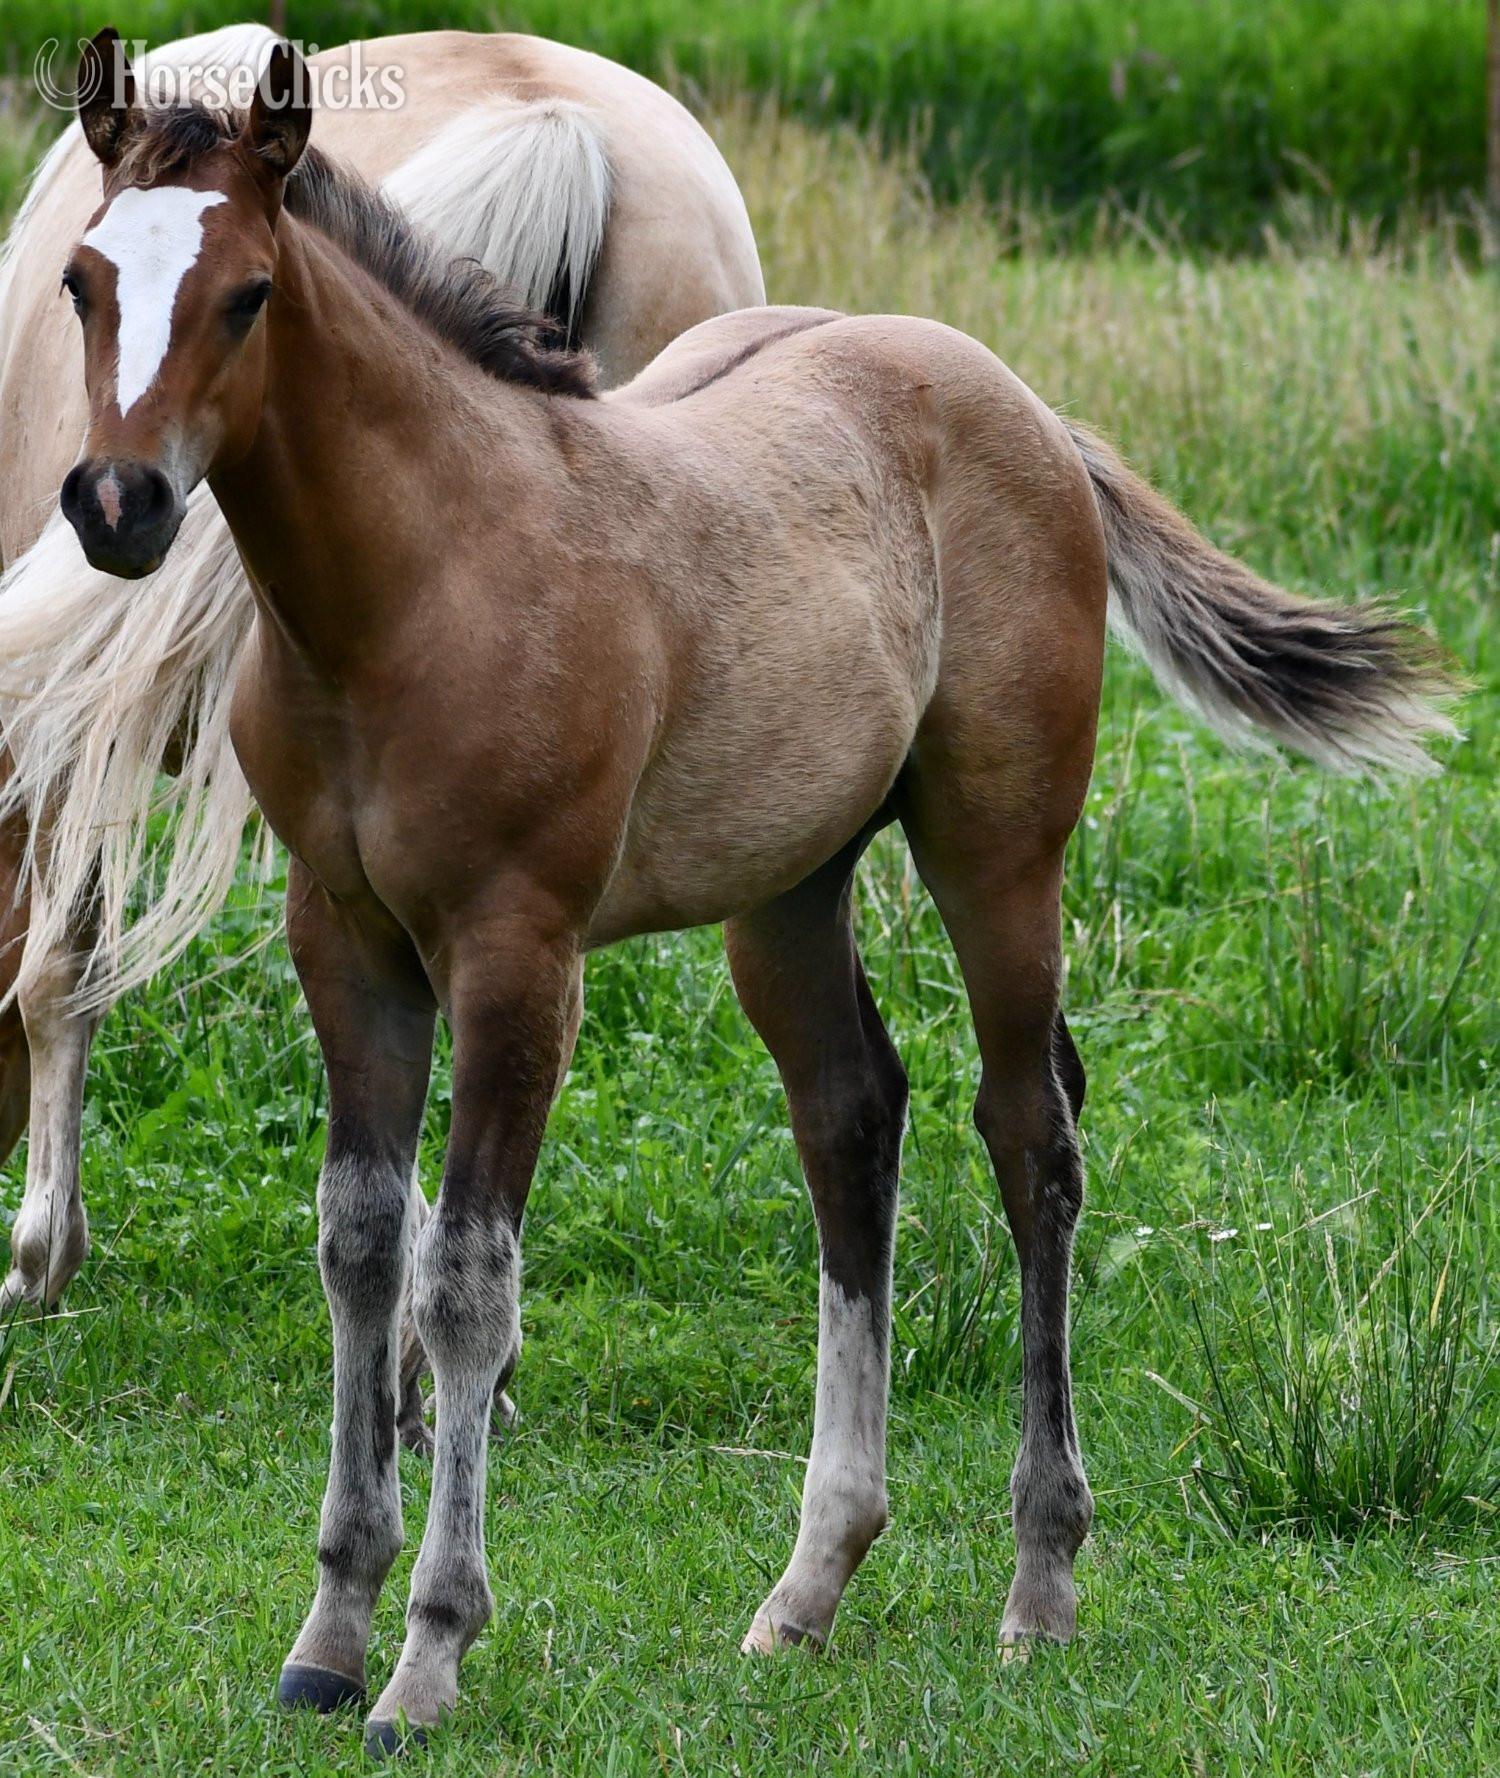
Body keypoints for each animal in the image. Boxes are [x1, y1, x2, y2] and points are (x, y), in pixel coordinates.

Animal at [0, 24, 764, 1327]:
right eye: (81, 287)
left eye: (246, 300)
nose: (114, 504)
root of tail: (554, 121)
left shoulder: (79, 723)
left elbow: (61, 962)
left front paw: (43, 1253)